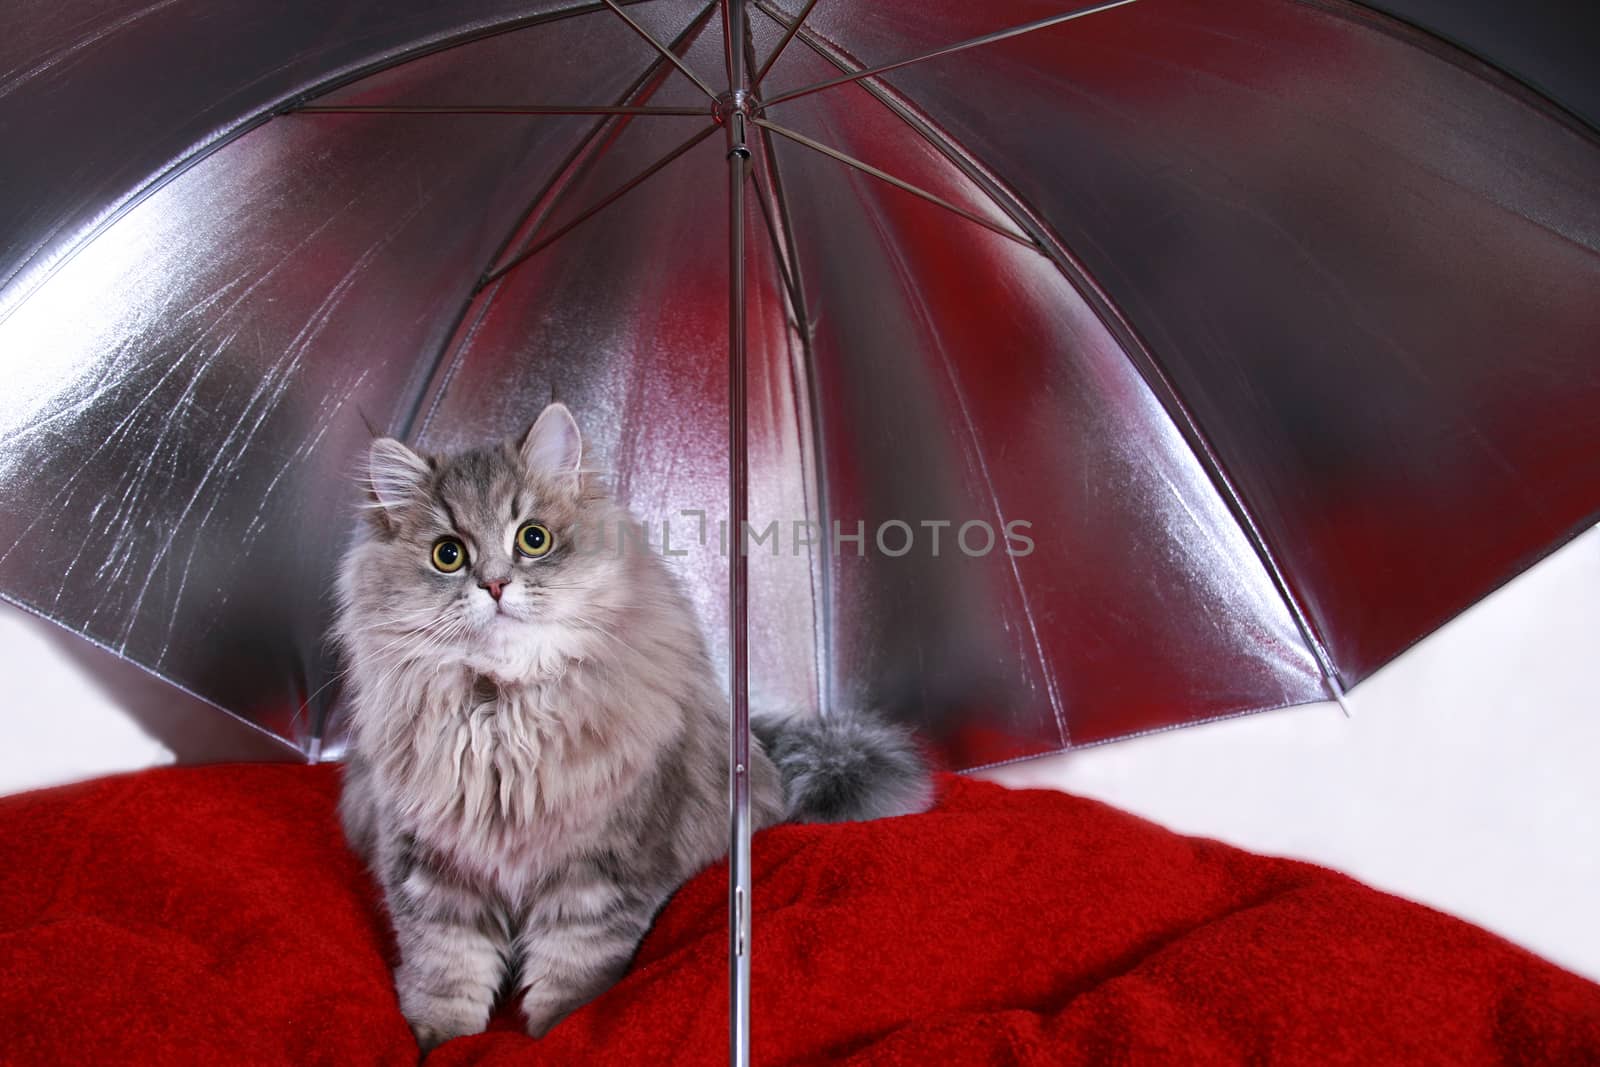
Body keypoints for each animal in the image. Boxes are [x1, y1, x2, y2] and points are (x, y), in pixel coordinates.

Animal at [336, 404, 934, 1049]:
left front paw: (561, 1033)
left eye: (533, 539)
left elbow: (570, 968)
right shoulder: (428, 866)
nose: (494, 585)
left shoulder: (602, 865)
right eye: (448, 555)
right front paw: (442, 1043)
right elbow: (446, 966)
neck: (503, 710)